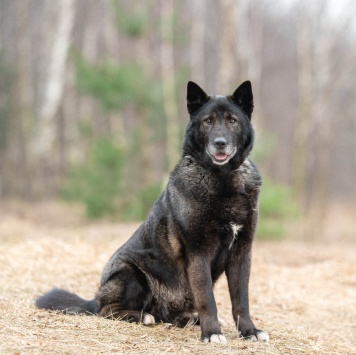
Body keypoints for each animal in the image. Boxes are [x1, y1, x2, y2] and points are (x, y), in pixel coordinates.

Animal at [36, 81, 270, 344]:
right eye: (208, 121)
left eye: (232, 121)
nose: (220, 142)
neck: (223, 181)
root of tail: (94, 299)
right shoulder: (198, 253)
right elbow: (208, 299)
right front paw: (212, 333)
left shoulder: (241, 253)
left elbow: (241, 300)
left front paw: (249, 331)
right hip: (132, 273)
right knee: (107, 310)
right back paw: (143, 316)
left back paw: (185, 319)